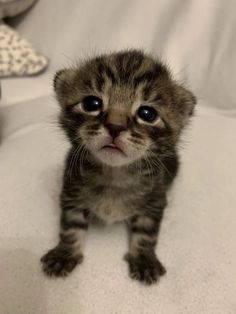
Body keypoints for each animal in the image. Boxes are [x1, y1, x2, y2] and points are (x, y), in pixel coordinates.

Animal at [40, 48, 195, 284]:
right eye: (92, 104)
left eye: (147, 114)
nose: (115, 126)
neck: (115, 174)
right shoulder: (71, 192)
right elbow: (70, 226)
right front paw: (64, 253)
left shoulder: (155, 200)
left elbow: (147, 232)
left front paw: (144, 258)